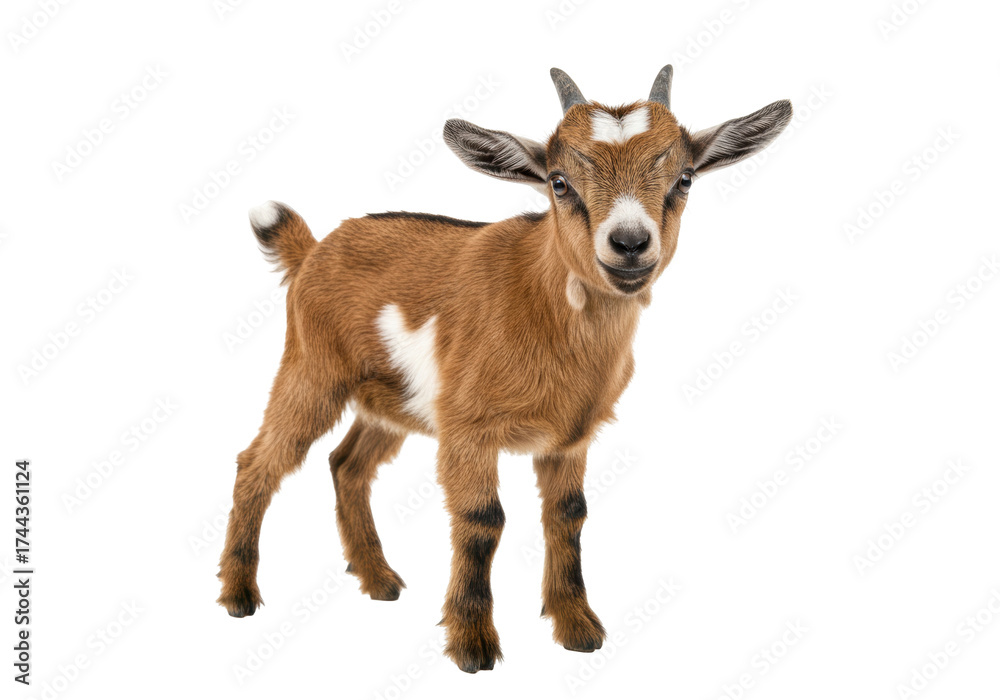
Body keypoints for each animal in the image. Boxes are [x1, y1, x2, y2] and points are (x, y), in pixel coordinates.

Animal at [218, 65, 792, 673]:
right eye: (559, 183)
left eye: (684, 178)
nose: (630, 243)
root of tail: (312, 250)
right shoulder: (467, 427)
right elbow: (482, 520)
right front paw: (473, 643)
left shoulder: (570, 437)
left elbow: (568, 514)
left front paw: (577, 626)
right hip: (312, 368)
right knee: (259, 461)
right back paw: (239, 594)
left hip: (393, 400)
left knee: (347, 464)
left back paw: (379, 580)